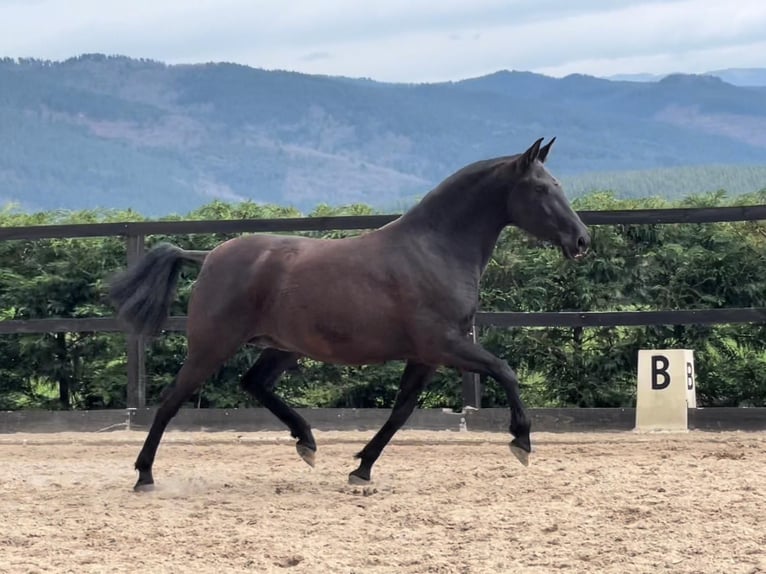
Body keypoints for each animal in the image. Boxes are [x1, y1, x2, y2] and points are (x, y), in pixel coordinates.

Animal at [109, 137, 590, 491]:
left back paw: (306, 442)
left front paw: (361, 468)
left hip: (283, 347)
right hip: (213, 345)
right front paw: (521, 440)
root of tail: (208, 256)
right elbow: (504, 370)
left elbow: (400, 411)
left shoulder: (426, 356)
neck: (434, 249)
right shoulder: (445, 345)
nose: (582, 240)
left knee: (254, 384)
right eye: (543, 188)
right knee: (171, 400)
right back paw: (144, 475)